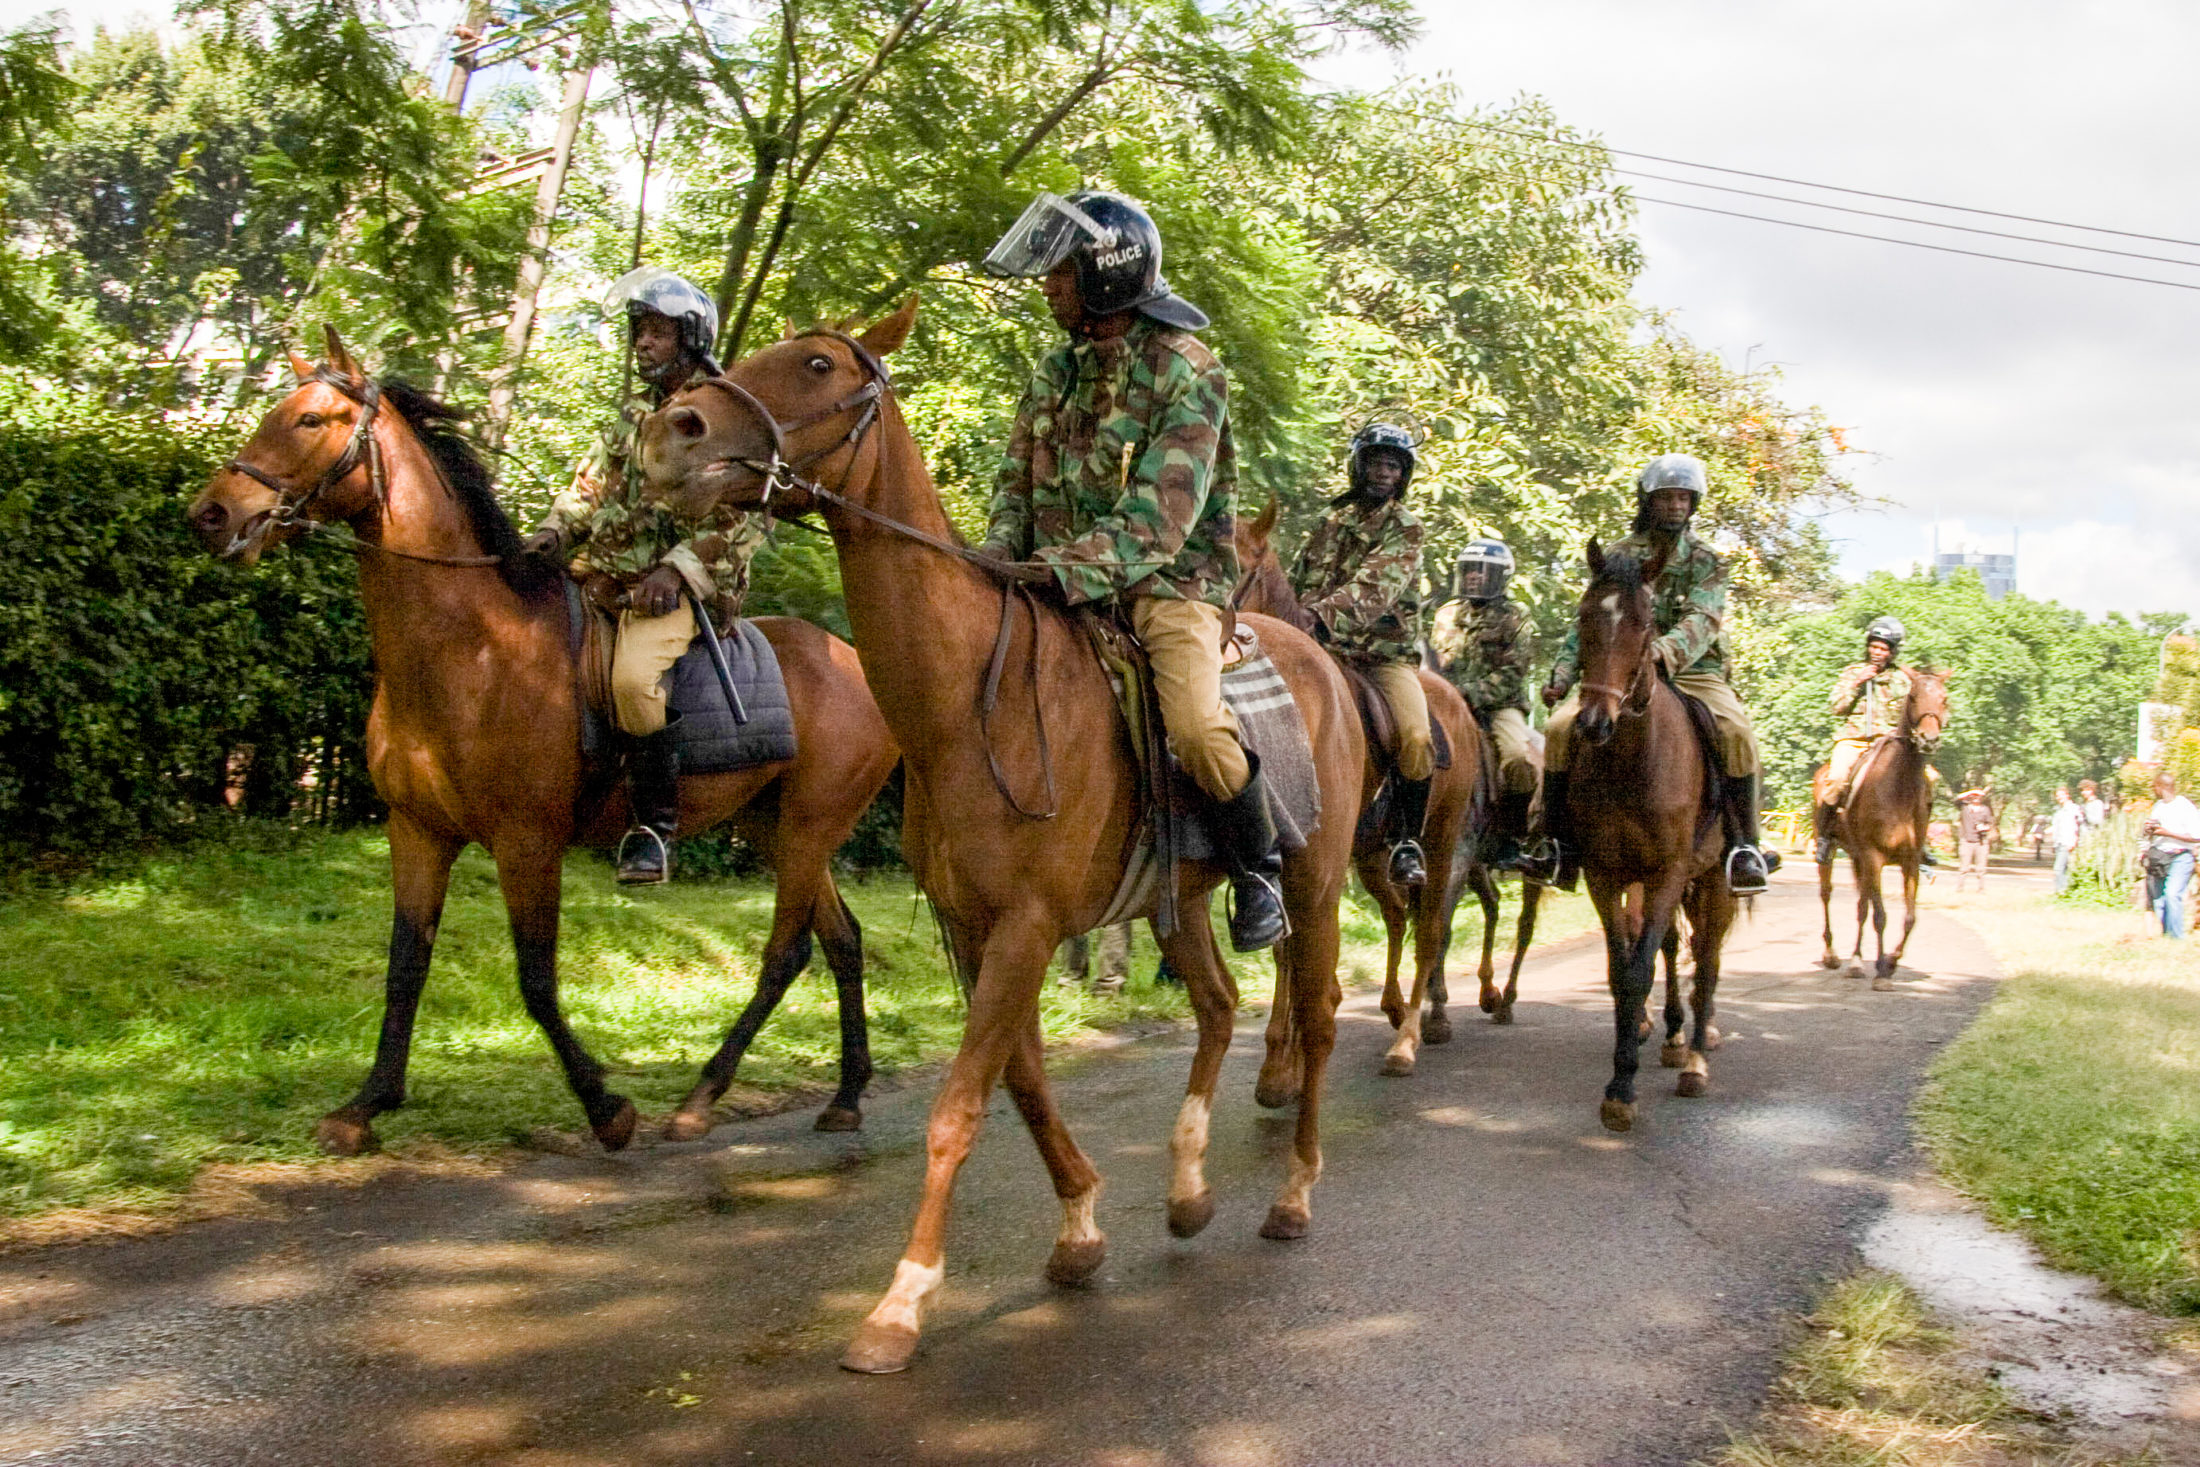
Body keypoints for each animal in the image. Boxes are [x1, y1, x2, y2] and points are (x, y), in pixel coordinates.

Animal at [187, 332, 893, 1161]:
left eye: (309, 419)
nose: (211, 513)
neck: (472, 647)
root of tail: (858, 663)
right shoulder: (417, 832)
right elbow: (406, 965)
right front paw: (365, 1104)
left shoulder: (526, 842)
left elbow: (534, 979)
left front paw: (606, 1107)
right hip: (774, 826)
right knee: (843, 940)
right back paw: (844, 1095)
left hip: (812, 825)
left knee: (789, 951)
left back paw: (702, 1097)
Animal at [633, 299, 1355, 1381]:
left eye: (817, 363)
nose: (674, 432)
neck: (969, 695)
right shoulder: (977, 928)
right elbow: (1019, 1081)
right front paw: (1081, 1227)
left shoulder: (1026, 926)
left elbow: (960, 1106)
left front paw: (899, 1304)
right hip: (1176, 902)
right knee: (1221, 1005)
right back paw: (1187, 1189)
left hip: (1312, 886)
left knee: (1312, 1020)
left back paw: (1297, 1194)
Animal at [1232, 505, 1504, 1077]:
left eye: (1242, 568)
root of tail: (1459, 706)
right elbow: (1287, 949)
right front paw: (1279, 1064)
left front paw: (1287, 1060)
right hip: (1374, 856)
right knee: (1400, 915)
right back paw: (1397, 1007)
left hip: (1444, 845)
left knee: (1431, 932)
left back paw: (1410, 1038)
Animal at [1566, 543, 1733, 1134]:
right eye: (1584, 617)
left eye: (1644, 626)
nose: (1594, 723)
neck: (1633, 761)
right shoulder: (1606, 876)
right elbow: (1622, 972)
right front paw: (1623, 1070)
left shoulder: (1669, 873)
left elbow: (1640, 970)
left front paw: (1623, 1088)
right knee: (1674, 949)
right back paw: (1676, 1037)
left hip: (1716, 882)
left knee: (1706, 961)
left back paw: (1697, 1062)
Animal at [1812, 673, 1953, 980]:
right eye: (1913, 697)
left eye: (1944, 698)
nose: (1928, 740)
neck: (1899, 787)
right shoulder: (1874, 857)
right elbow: (1880, 916)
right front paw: (1881, 970)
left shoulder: (1909, 861)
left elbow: (1909, 917)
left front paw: (1889, 962)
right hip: (1836, 853)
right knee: (1827, 895)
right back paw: (1832, 955)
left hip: (1859, 859)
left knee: (1861, 905)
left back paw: (1856, 960)